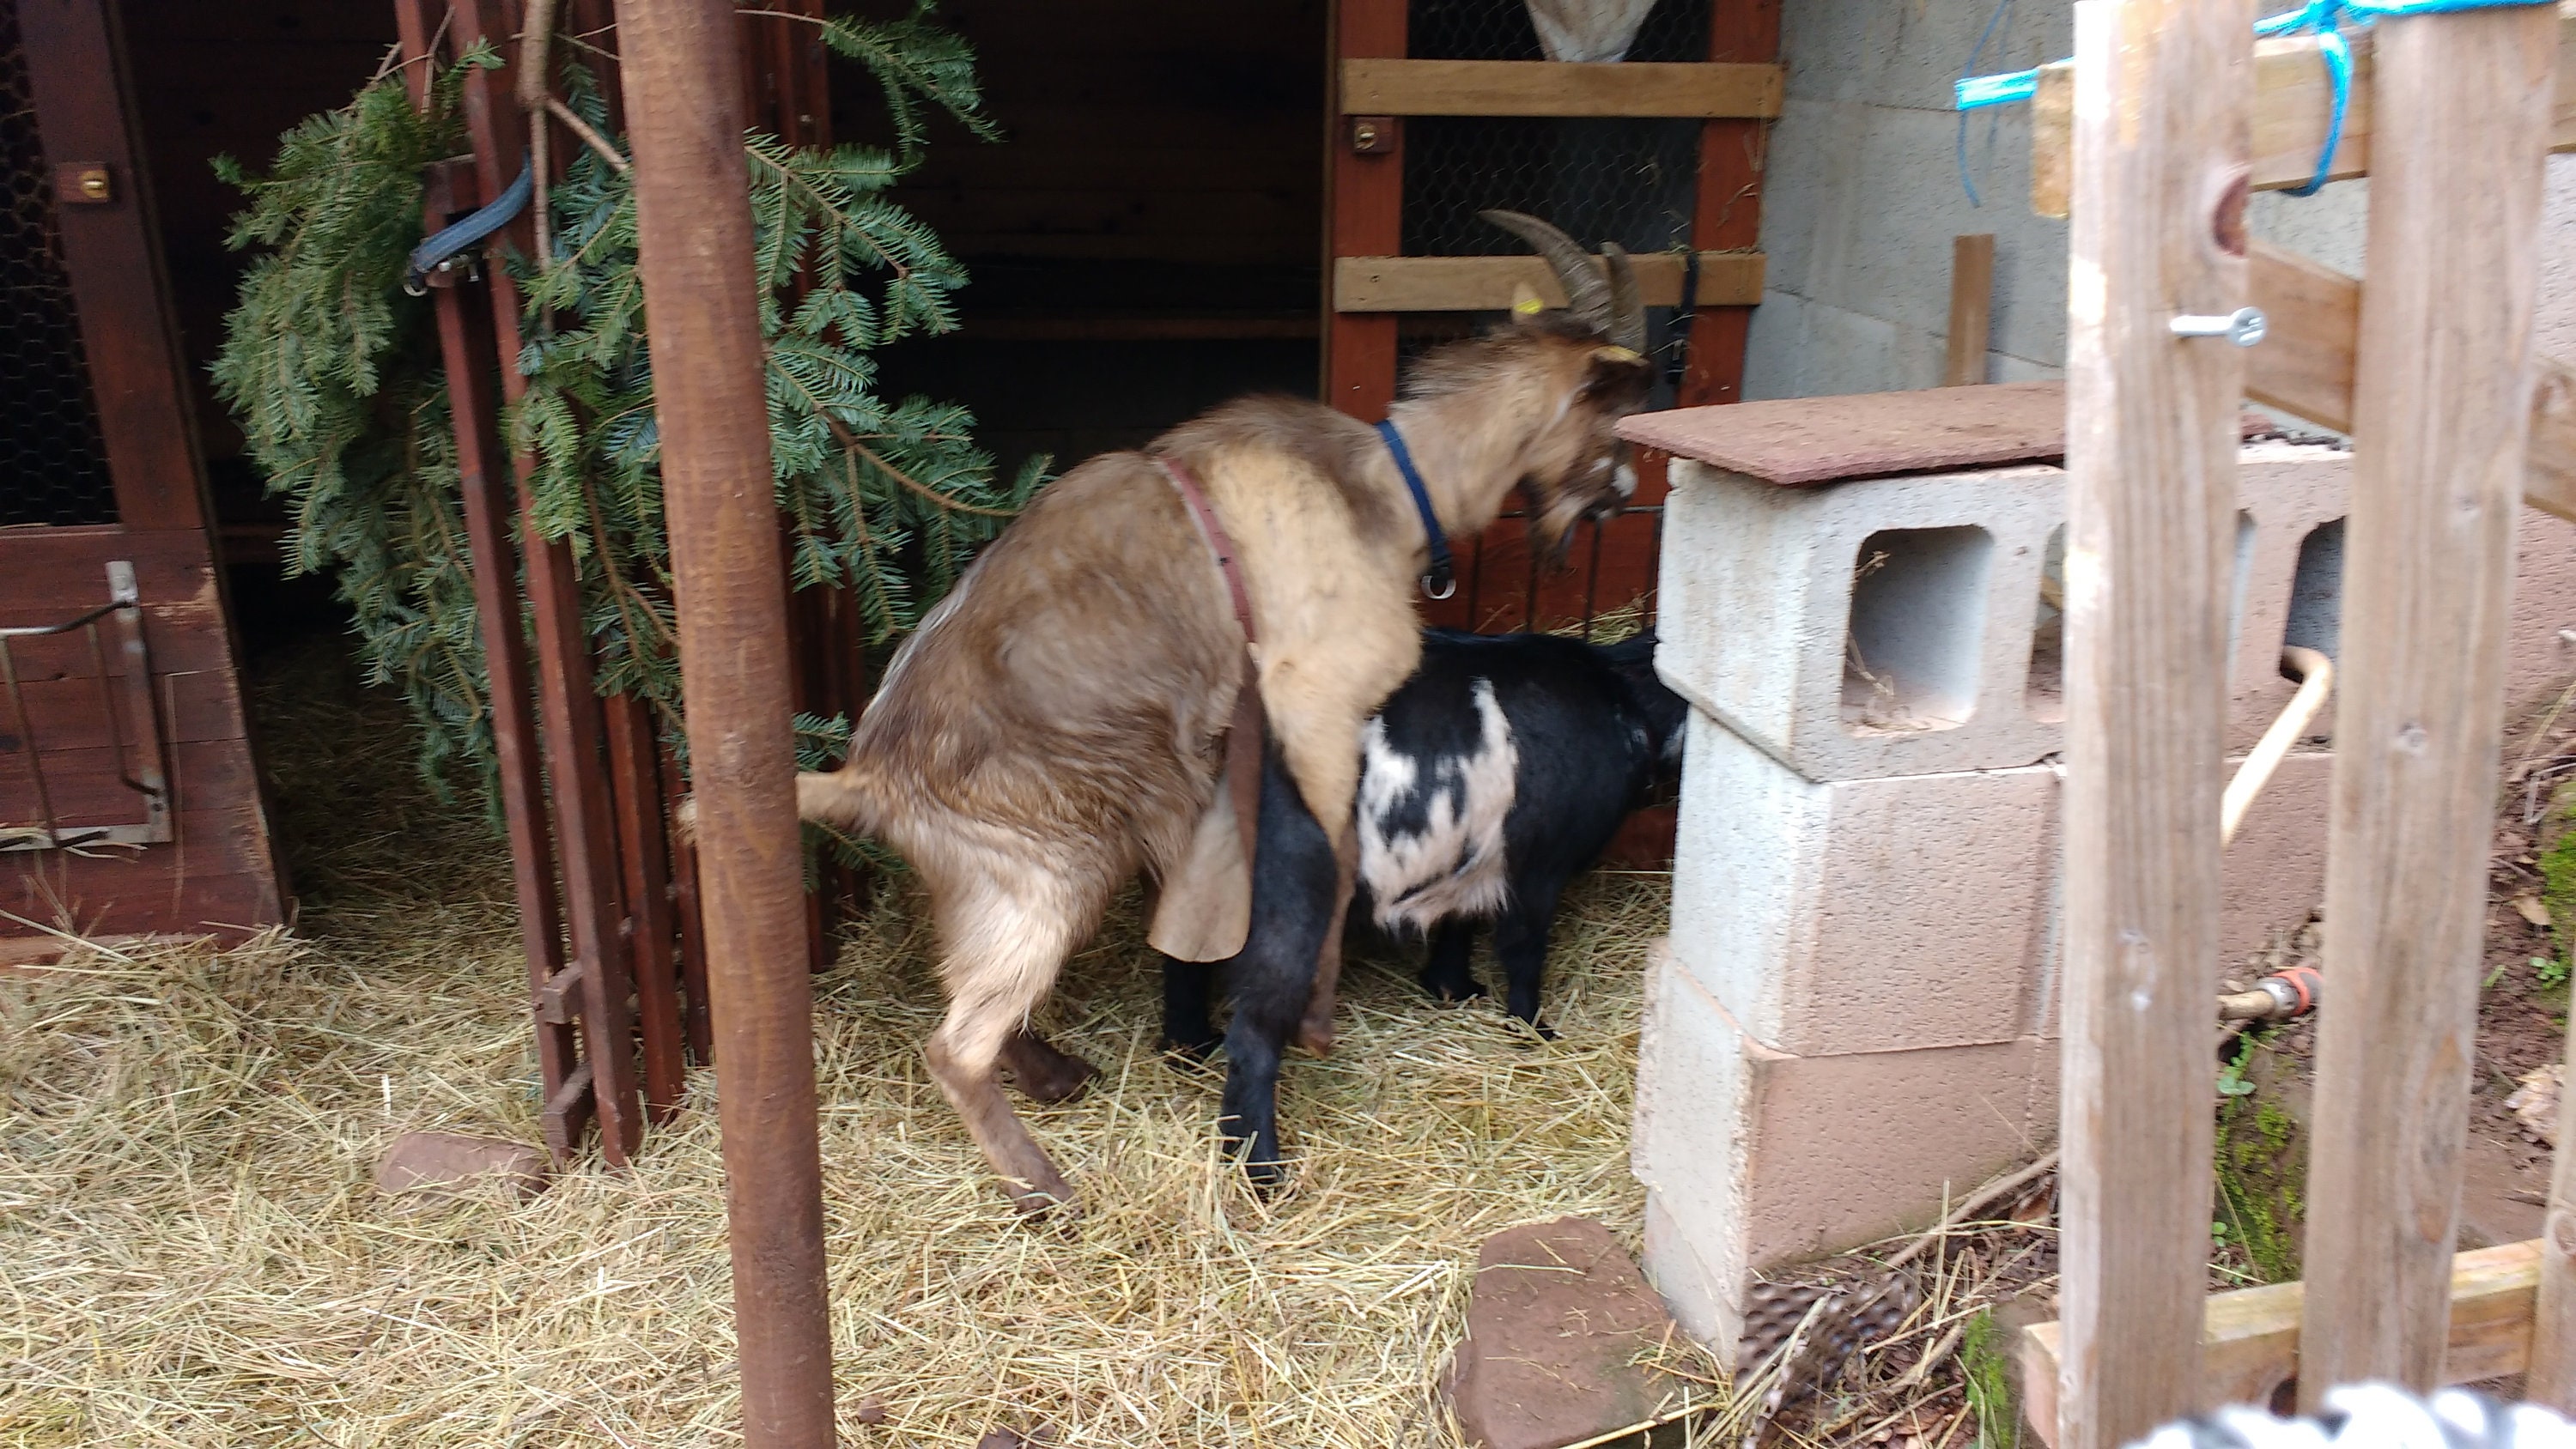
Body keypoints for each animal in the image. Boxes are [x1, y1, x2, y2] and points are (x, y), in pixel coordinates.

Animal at [1161, 626, 1686, 1056]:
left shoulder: (1471, 850)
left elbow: (1460, 921)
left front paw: (1452, 987)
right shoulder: (1538, 863)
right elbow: (1523, 947)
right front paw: (1532, 1028)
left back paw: (1190, 1045)